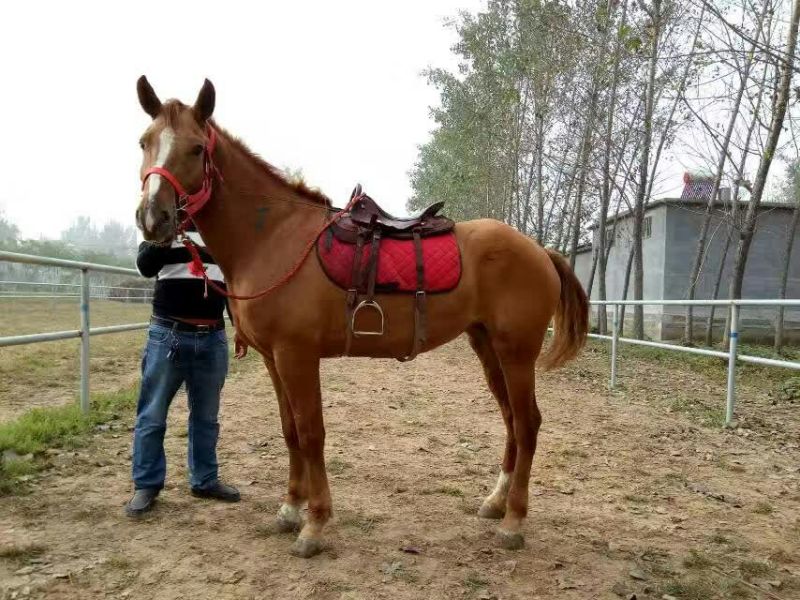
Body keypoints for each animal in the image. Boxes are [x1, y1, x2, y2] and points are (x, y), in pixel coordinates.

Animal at [134, 76, 589, 558]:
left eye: (197, 148)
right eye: (145, 141)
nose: (153, 217)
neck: (274, 236)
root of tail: (539, 249)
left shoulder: (297, 356)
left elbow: (311, 432)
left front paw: (314, 524)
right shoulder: (274, 360)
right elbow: (290, 430)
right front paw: (290, 508)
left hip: (516, 352)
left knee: (528, 422)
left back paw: (514, 521)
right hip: (488, 347)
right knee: (511, 421)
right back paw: (496, 503)